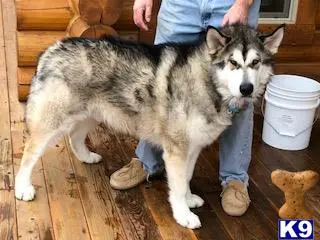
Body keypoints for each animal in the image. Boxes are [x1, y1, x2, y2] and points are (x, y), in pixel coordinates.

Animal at [16, 23, 284, 229]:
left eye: (256, 62)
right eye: (233, 63)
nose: (246, 88)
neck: (207, 82)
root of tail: (52, 49)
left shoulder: (192, 147)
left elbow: (186, 177)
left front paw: (188, 199)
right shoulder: (176, 150)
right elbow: (177, 185)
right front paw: (184, 215)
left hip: (92, 113)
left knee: (74, 136)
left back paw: (86, 157)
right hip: (52, 123)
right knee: (28, 153)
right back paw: (22, 187)